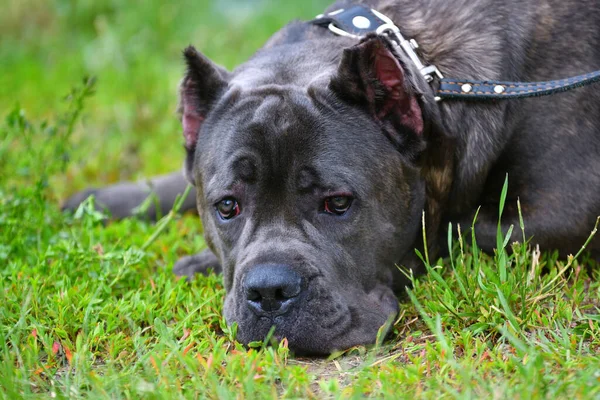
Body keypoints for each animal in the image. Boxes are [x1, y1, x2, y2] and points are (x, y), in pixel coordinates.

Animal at [65, 1, 600, 354]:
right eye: (227, 207)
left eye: (338, 204)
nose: (269, 291)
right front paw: (98, 200)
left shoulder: (563, 214)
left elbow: (453, 233)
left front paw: (200, 262)